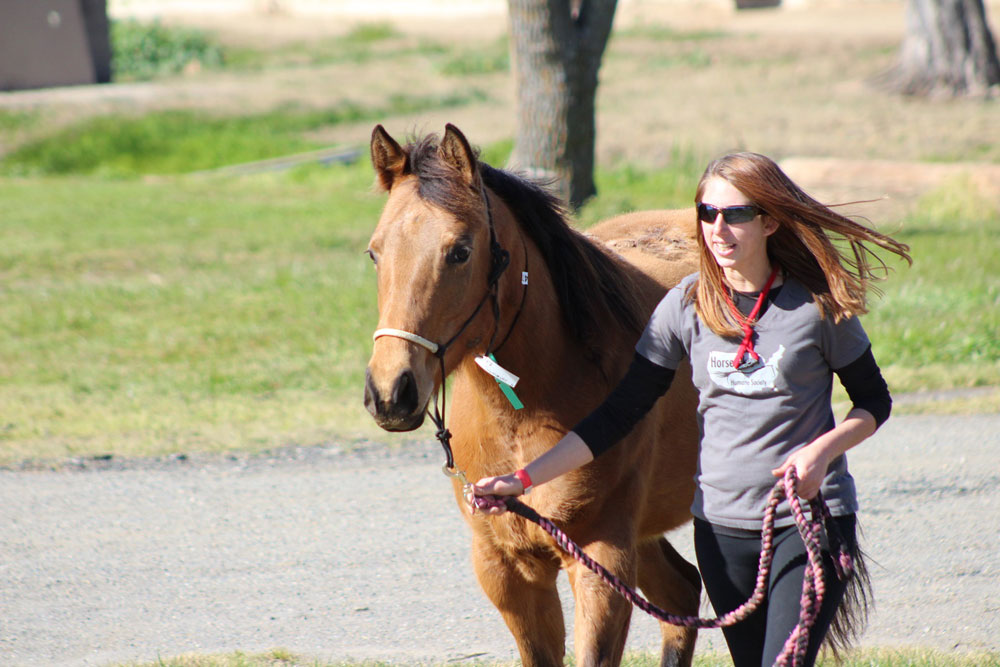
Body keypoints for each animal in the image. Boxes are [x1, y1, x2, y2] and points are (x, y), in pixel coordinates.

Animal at [362, 125, 704, 667]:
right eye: (375, 252)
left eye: (460, 250)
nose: (390, 391)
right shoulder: (508, 570)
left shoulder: (602, 561)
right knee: (683, 594)